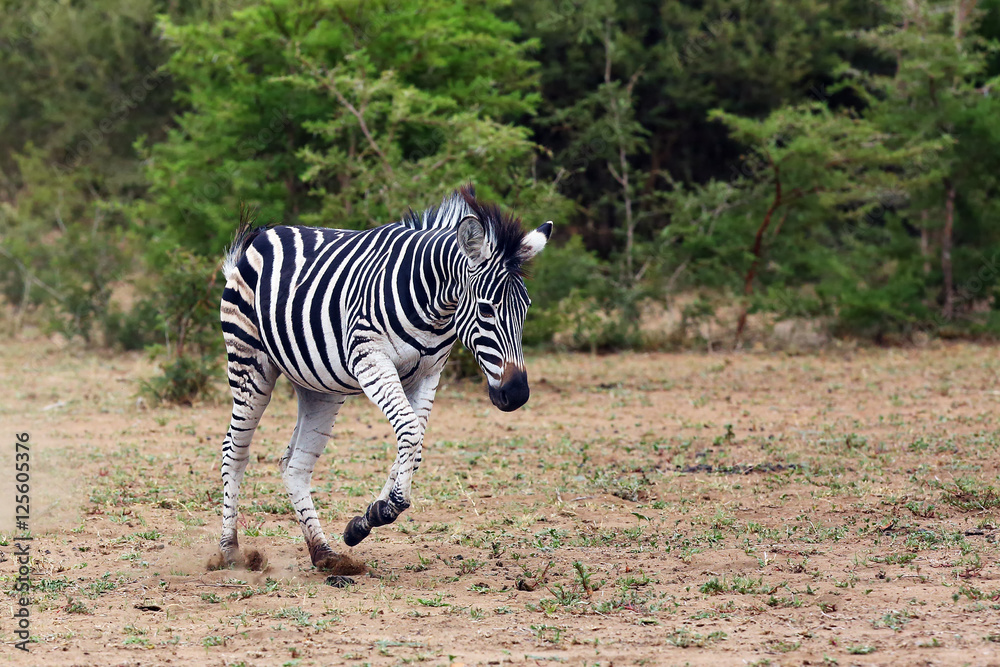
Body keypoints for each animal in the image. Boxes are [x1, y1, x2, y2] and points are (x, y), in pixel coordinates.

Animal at [217, 185, 552, 569]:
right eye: (485, 309)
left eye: (525, 308)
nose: (517, 393)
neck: (433, 303)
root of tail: (264, 235)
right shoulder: (371, 359)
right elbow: (409, 432)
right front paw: (390, 507)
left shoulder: (429, 372)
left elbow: (414, 443)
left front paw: (369, 517)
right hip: (248, 363)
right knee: (234, 451)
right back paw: (229, 550)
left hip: (319, 387)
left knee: (295, 464)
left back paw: (324, 553)